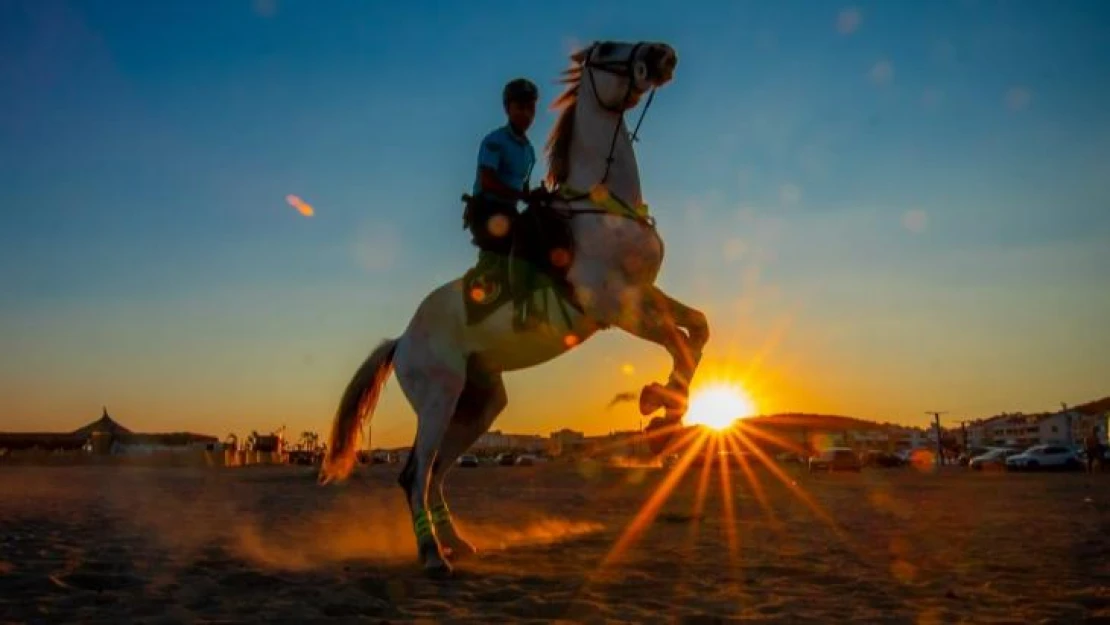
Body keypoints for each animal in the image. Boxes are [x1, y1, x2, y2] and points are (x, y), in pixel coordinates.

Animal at [319, 40, 710, 577]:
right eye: (608, 48)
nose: (663, 53)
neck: (602, 208)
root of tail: (402, 341)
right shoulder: (614, 304)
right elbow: (678, 342)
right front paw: (659, 411)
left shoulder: (644, 292)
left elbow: (697, 331)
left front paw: (663, 409)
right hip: (439, 398)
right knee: (415, 473)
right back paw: (432, 555)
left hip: (480, 402)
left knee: (438, 471)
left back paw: (457, 543)